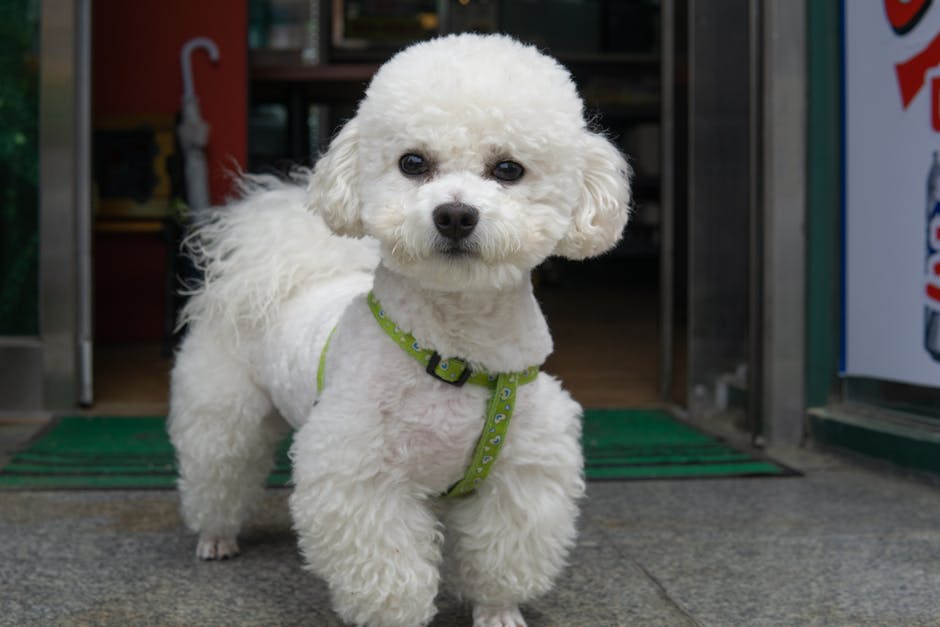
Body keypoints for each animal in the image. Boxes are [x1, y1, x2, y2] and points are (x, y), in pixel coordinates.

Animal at [172, 33, 632, 627]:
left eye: (508, 169)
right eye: (413, 163)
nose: (455, 214)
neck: (453, 351)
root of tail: (290, 265)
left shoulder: (522, 472)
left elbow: (503, 553)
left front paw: (498, 609)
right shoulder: (363, 477)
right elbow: (389, 572)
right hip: (223, 408)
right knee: (218, 468)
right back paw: (216, 536)